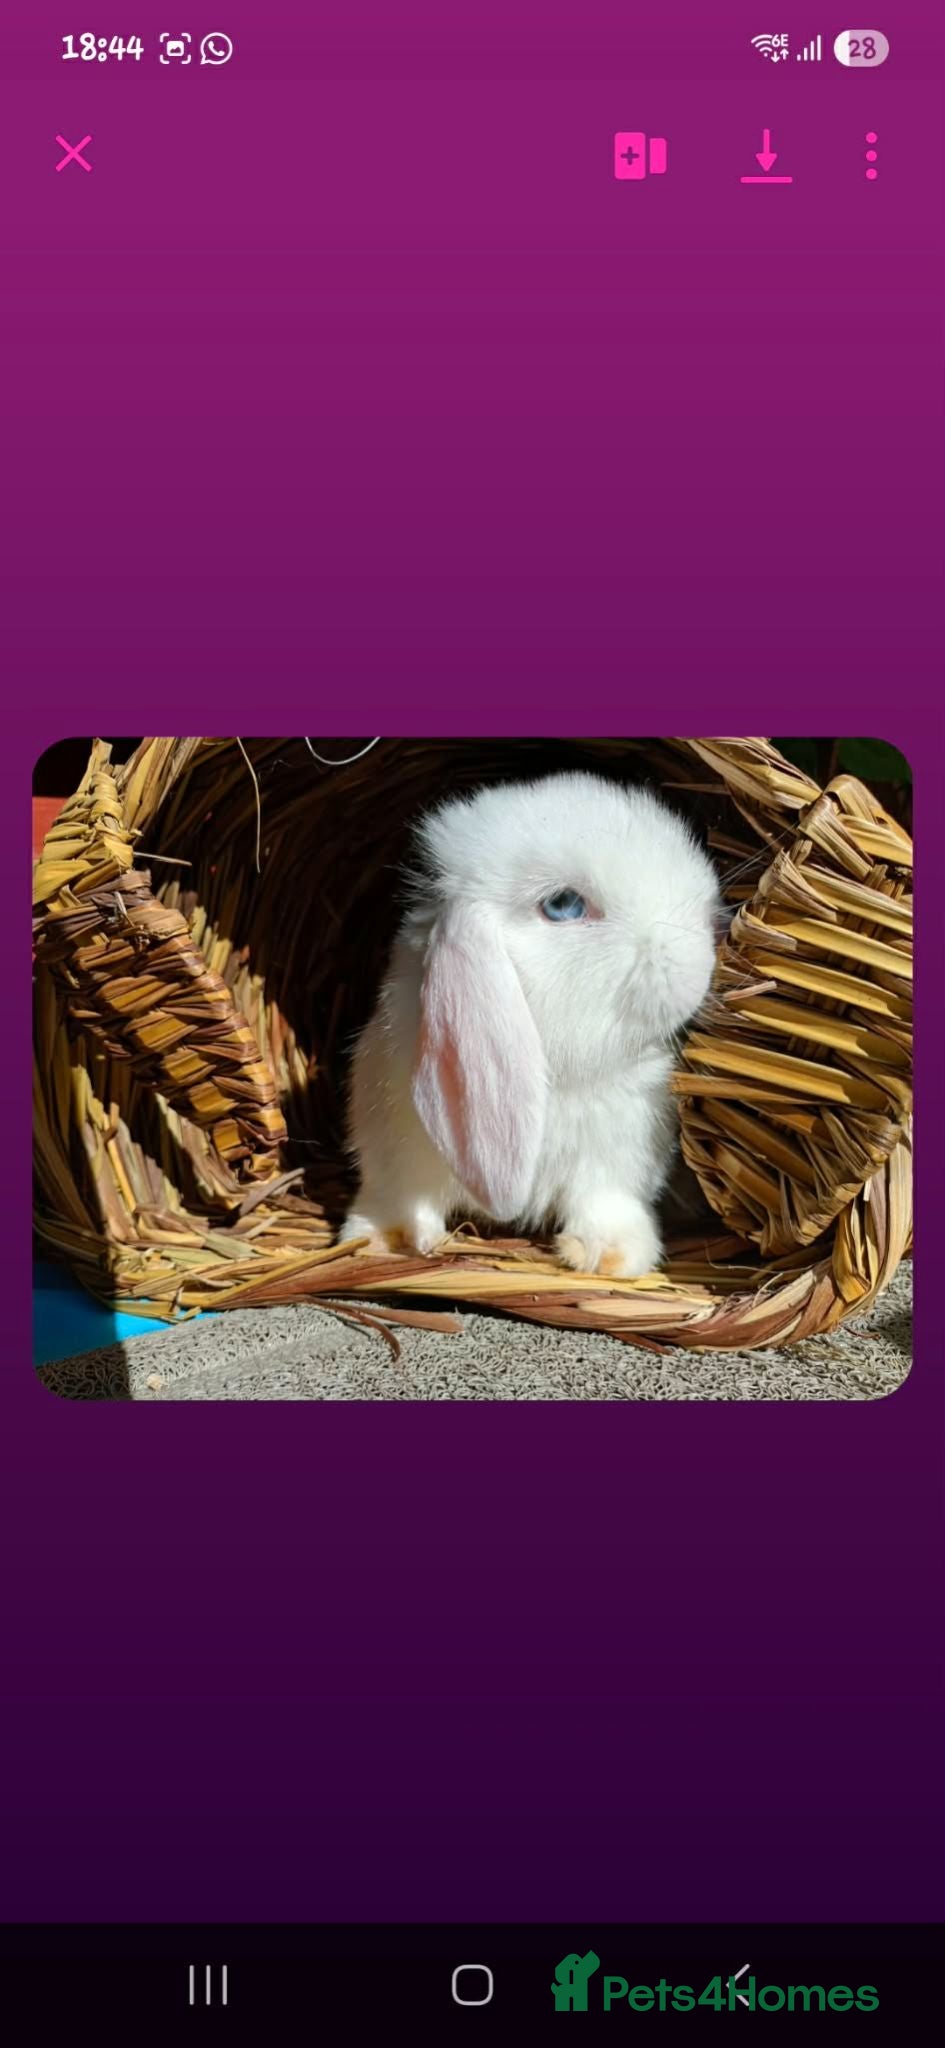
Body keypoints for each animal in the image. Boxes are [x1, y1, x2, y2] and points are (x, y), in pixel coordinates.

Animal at [343, 769, 721, 1278]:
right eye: (563, 905)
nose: (707, 943)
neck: (553, 1079)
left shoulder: (617, 1156)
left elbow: (605, 1204)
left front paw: (605, 1258)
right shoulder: (393, 1143)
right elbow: (404, 1200)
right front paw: (385, 1241)